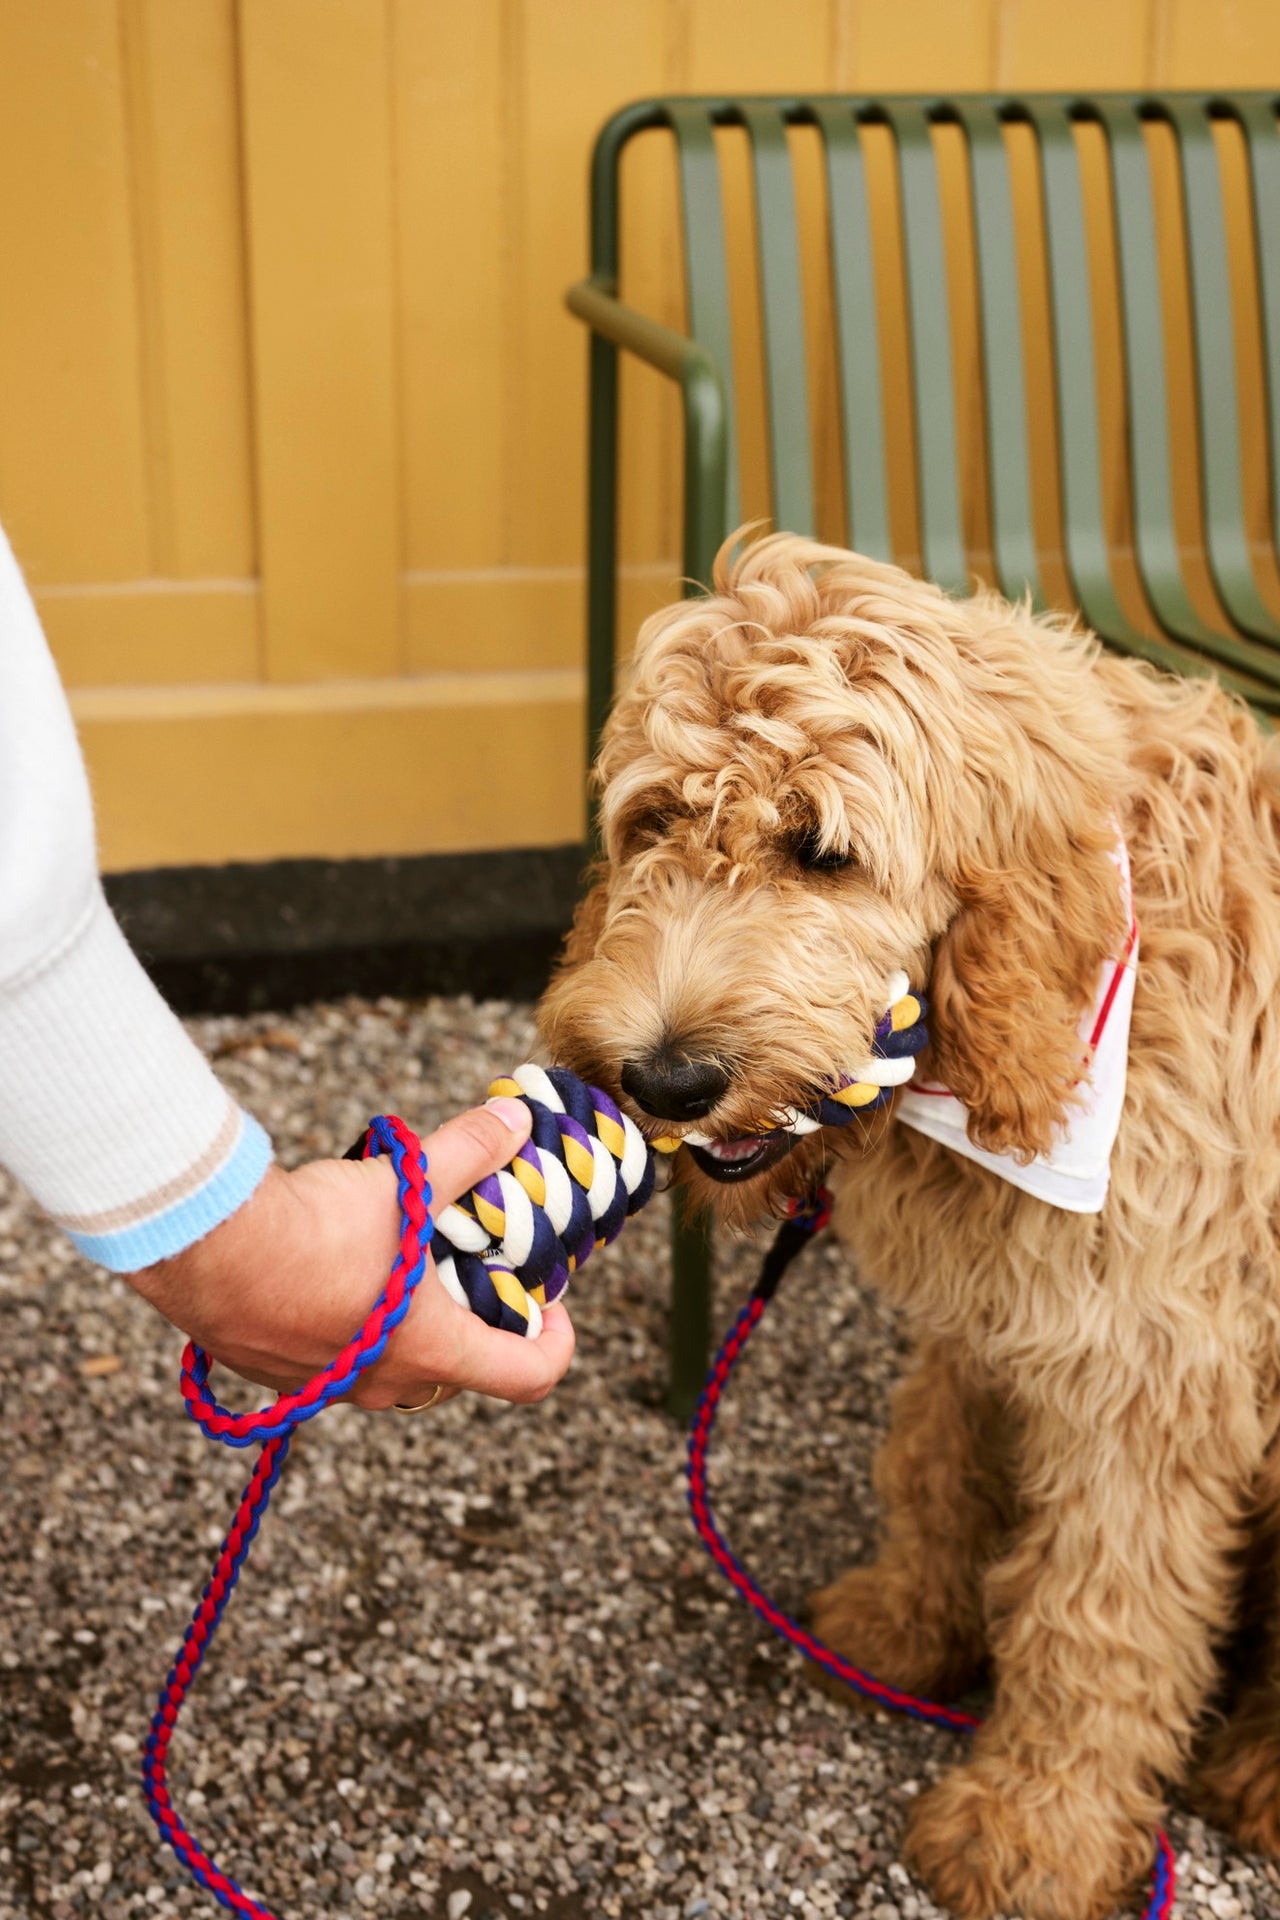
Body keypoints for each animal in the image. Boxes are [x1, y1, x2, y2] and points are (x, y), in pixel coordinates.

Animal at [537, 529, 1280, 1920]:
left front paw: (1035, 1827)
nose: (666, 1078)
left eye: (821, 851)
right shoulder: (998, 1307)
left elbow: (1097, 1609)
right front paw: (909, 1625)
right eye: (652, 821)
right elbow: (936, 1457)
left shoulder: (1150, 1365)